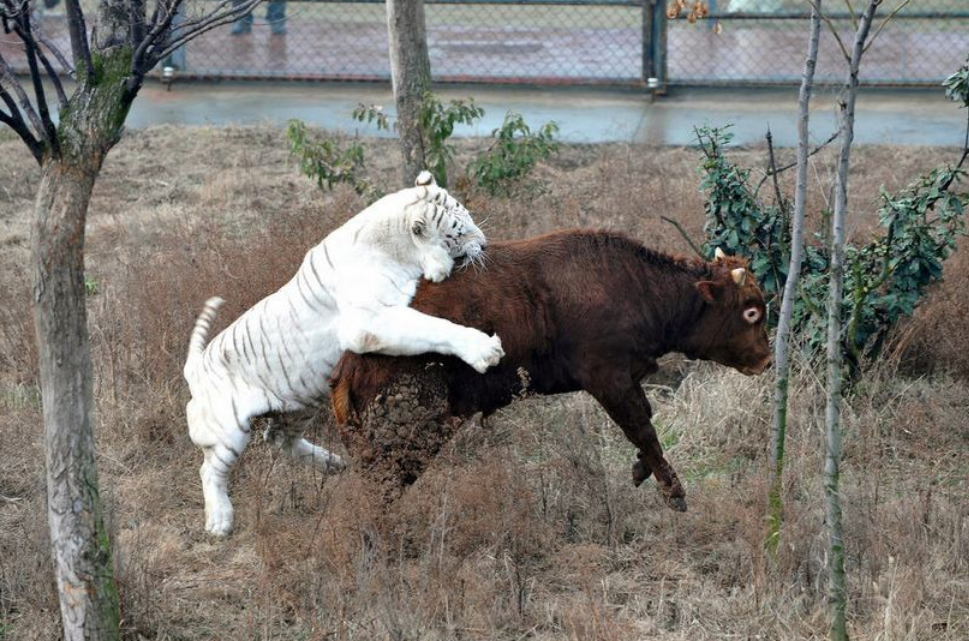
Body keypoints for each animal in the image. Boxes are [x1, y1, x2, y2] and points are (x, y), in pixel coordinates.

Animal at [185, 171, 502, 536]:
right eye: (459, 232)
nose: (486, 244)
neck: (396, 246)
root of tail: (194, 368)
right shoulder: (368, 321)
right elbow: (432, 327)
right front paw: (484, 349)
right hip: (229, 432)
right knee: (211, 470)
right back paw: (220, 520)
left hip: (301, 403)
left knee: (277, 438)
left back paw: (332, 463)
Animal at [332, 230, 772, 510]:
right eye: (750, 310)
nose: (766, 361)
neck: (638, 286)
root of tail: (351, 360)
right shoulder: (608, 379)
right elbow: (642, 427)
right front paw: (674, 491)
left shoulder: (627, 378)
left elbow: (646, 420)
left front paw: (640, 469)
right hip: (410, 437)